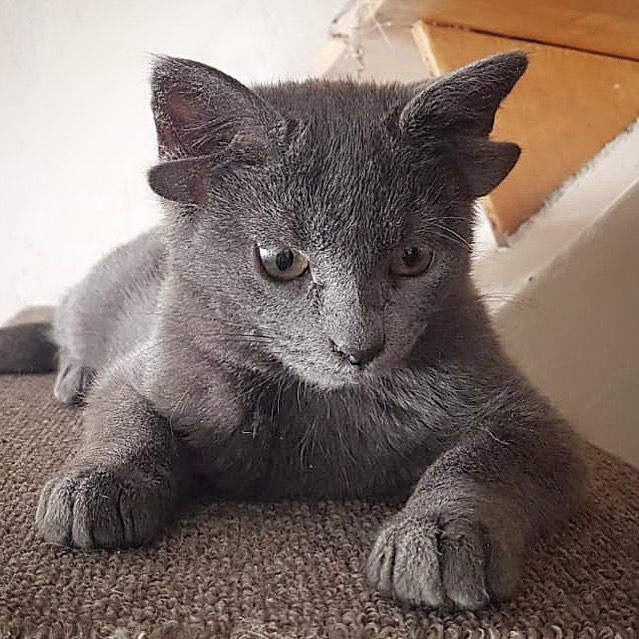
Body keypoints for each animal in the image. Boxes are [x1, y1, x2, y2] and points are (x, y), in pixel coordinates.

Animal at [0, 52, 584, 612]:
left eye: (412, 257)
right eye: (282, 260)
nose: (359, 347)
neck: (321, 404)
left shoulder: (528, 417)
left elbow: (482, 458)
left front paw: (437, 536)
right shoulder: (153, 364)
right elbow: (127, 418)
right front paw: (98, 482)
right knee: (60, 328)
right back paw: (75, 375)